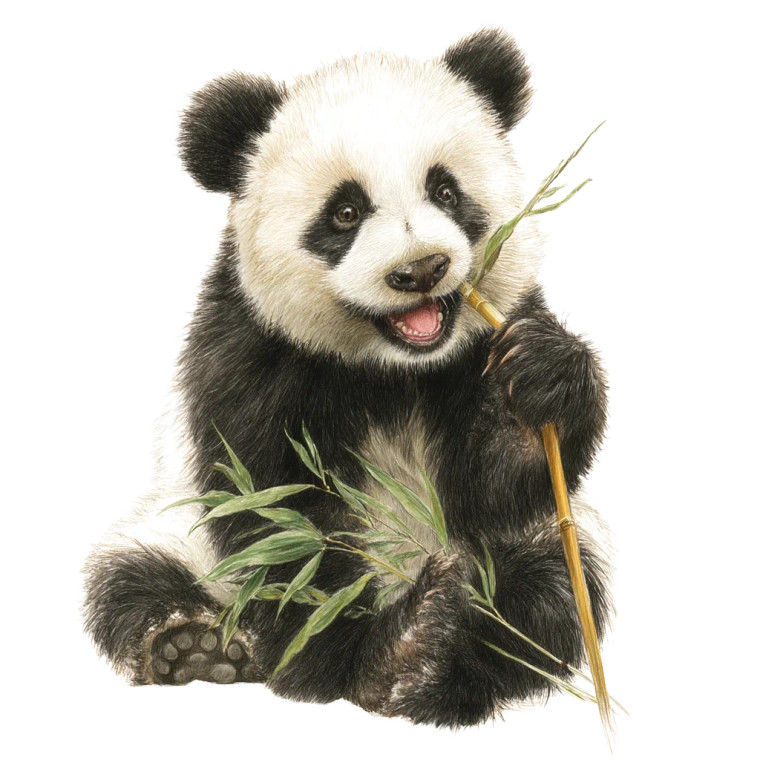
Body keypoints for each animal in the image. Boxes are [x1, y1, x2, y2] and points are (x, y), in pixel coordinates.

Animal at [83, 28, 611, 727]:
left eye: (445, 191)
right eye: (345, 211)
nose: (421, 269)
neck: (391, 369)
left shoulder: (481, 344)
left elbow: (493, 489)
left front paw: (542, 376)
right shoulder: (253, 355)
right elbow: (283, 515)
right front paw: (341, 662)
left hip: (544, 549)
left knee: (547, 593)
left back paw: (429, 659)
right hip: (173, 534)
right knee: (130, 582)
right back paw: (200, 648)